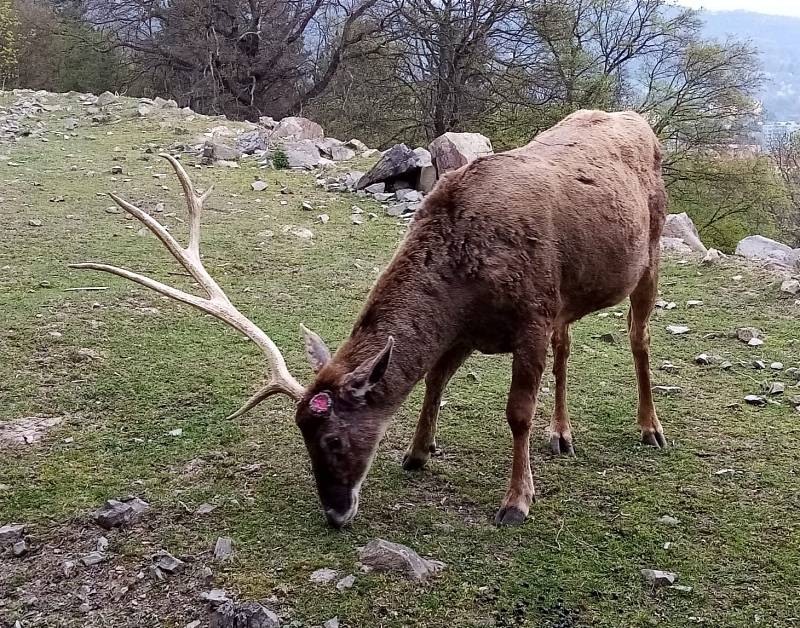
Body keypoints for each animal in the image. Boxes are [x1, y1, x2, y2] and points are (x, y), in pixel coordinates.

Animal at [70, 110, 668, 528]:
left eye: (333, 440)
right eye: (302, 438)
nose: (335, 514)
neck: (467, 283)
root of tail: (639, 119)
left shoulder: (532, 315)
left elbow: (517, 413)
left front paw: (517, 501)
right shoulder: (474, 329)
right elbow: (433, 380)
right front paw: (417, 452)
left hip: (650, 252)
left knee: (638, 338)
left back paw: (650, 429)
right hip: (569, 296)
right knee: (569, 346)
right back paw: (562, 436)